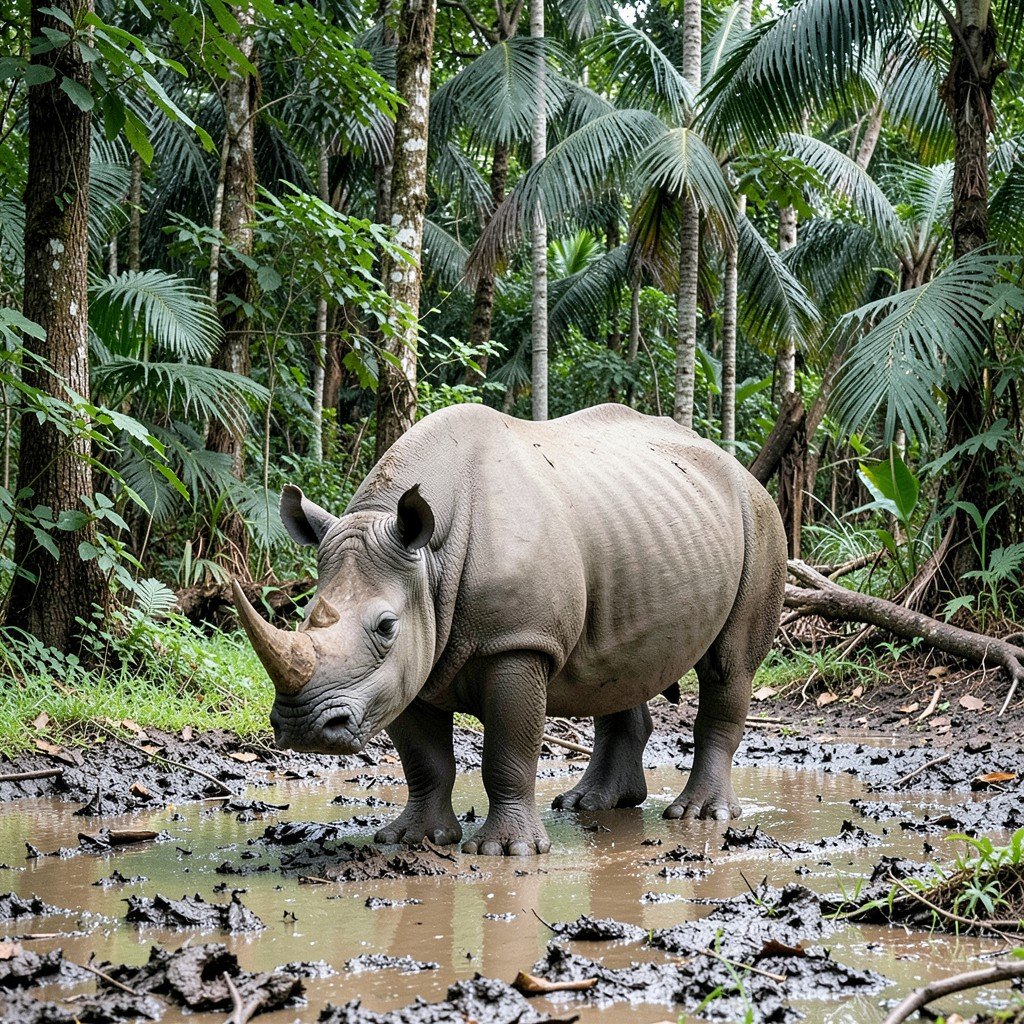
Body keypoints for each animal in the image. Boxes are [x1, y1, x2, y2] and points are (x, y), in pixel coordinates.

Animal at [232, 403, 786, 856]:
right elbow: (424, 760)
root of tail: (744, 472)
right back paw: (590, 805)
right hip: (641, 527)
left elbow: (508, 749)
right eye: (305, 615)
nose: (304, 729)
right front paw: (413, 839)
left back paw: (700, 815)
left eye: (387, 626)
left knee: (728, 668)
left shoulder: (518, 642)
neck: (429, 561)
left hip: (760, 520)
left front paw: (506, 852)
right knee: (620, 665)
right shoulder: (410, 662)